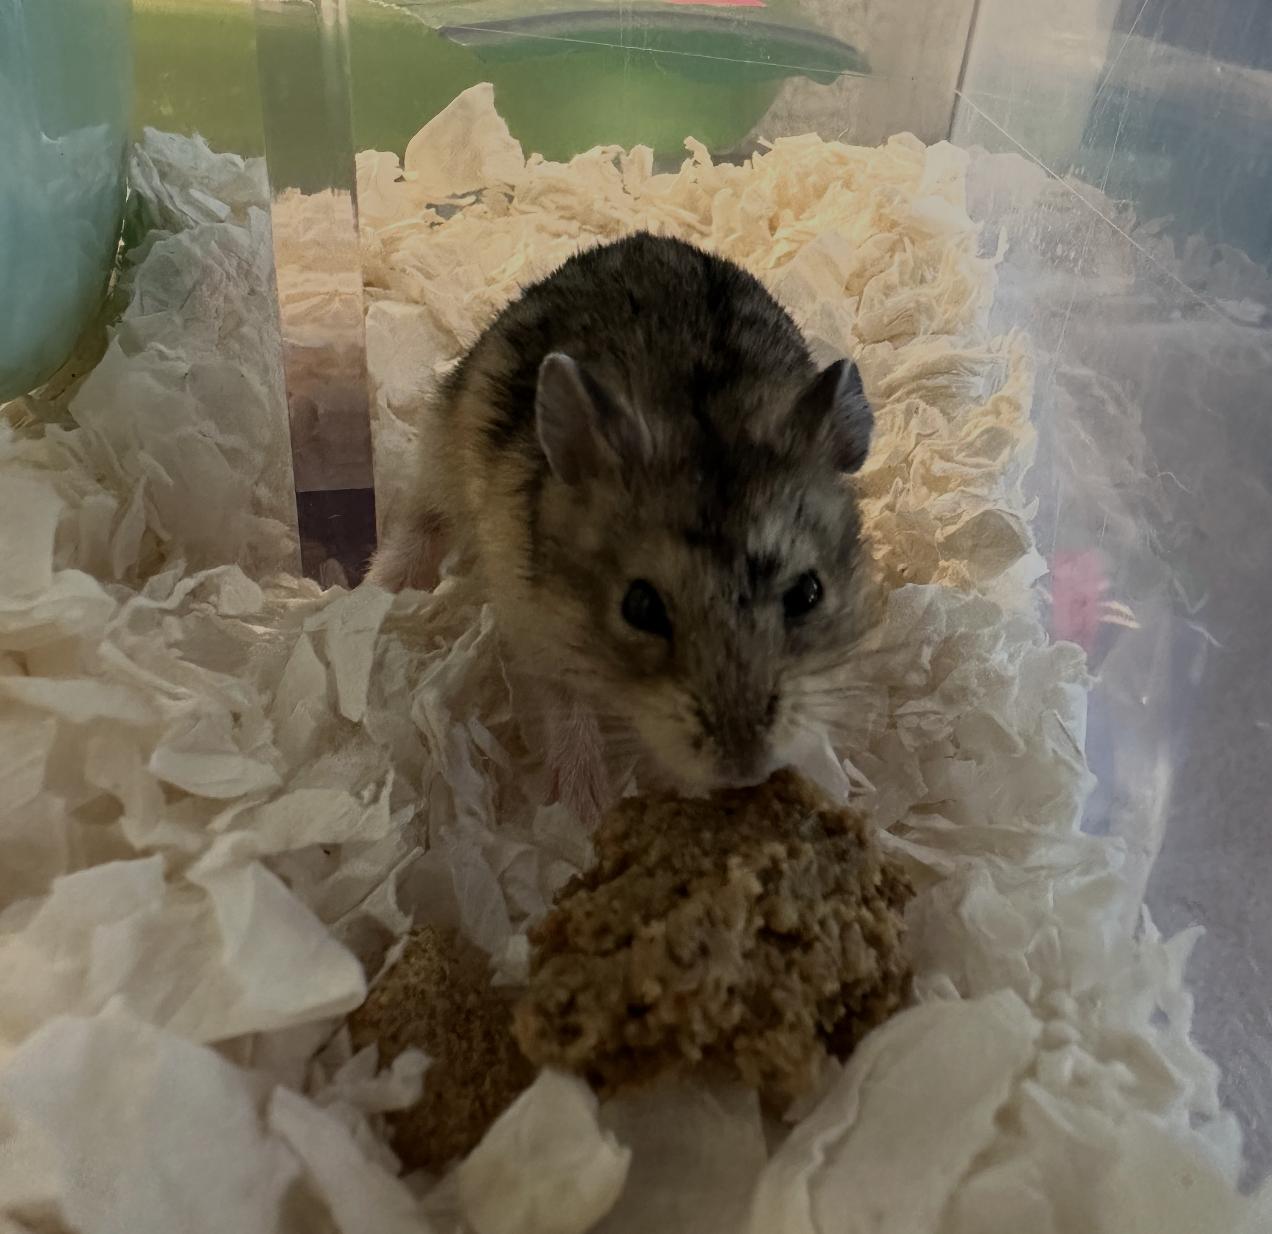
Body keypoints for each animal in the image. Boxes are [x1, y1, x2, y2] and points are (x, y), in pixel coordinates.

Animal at [370, 232, 874, 798]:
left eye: (809, 592)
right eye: (640, 606)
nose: (745, 768)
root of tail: (639, 237)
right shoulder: (531, 624)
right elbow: (565, 700)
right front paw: (587, 802)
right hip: (441, 447)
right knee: (422, 520)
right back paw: (376, 591)